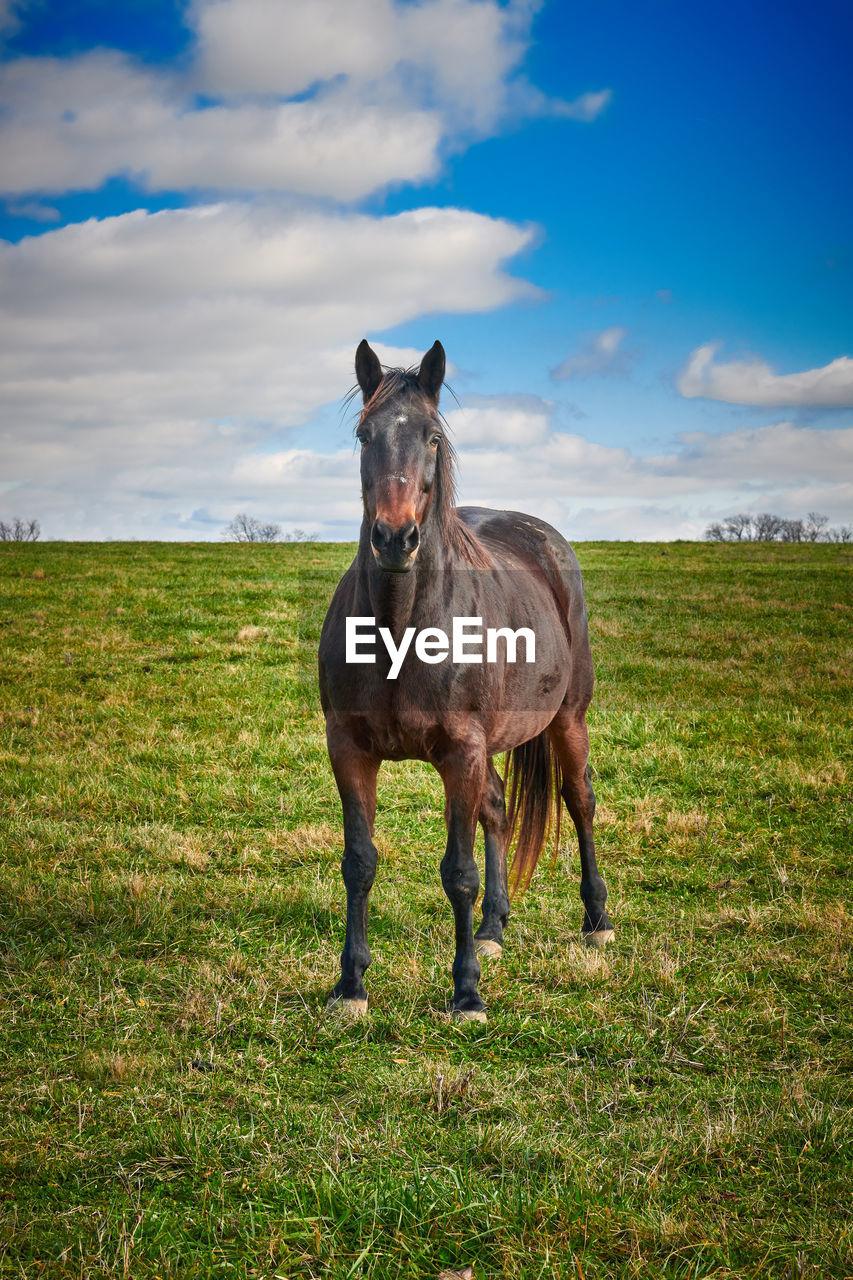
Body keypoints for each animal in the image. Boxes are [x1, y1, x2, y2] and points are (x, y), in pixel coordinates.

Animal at [317, 337, 612, 1018]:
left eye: (430, 437)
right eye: (364, 433)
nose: (395, 537)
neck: (402, 627)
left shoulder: (461, 752)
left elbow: (458, 873)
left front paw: (467, 992)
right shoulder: (350, 750)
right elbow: (360, 861)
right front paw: (351, 986)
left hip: (568, 718)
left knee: (579, 800)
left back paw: (596, 921)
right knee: (498, 811)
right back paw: (493, 928)